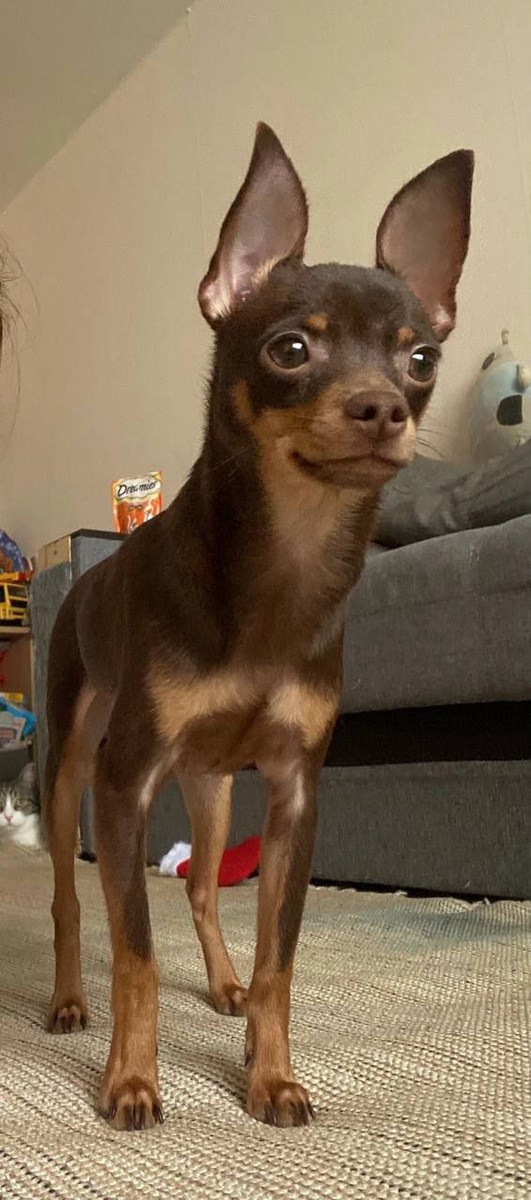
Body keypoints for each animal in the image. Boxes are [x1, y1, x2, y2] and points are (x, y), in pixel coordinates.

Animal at [43, 124, 473, 1130]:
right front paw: (131, 1080)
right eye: (289, 349)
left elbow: (281, 959)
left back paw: (225, 985)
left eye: (421, 361)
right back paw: (69, 1000)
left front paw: (268, 1072)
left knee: (203, 886)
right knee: (68, 902)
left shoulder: (290, 798)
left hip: (211, 787)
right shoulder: (123, 786)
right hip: (73, 765)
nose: (380, 408)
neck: (285, 568)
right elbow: (134, 952)